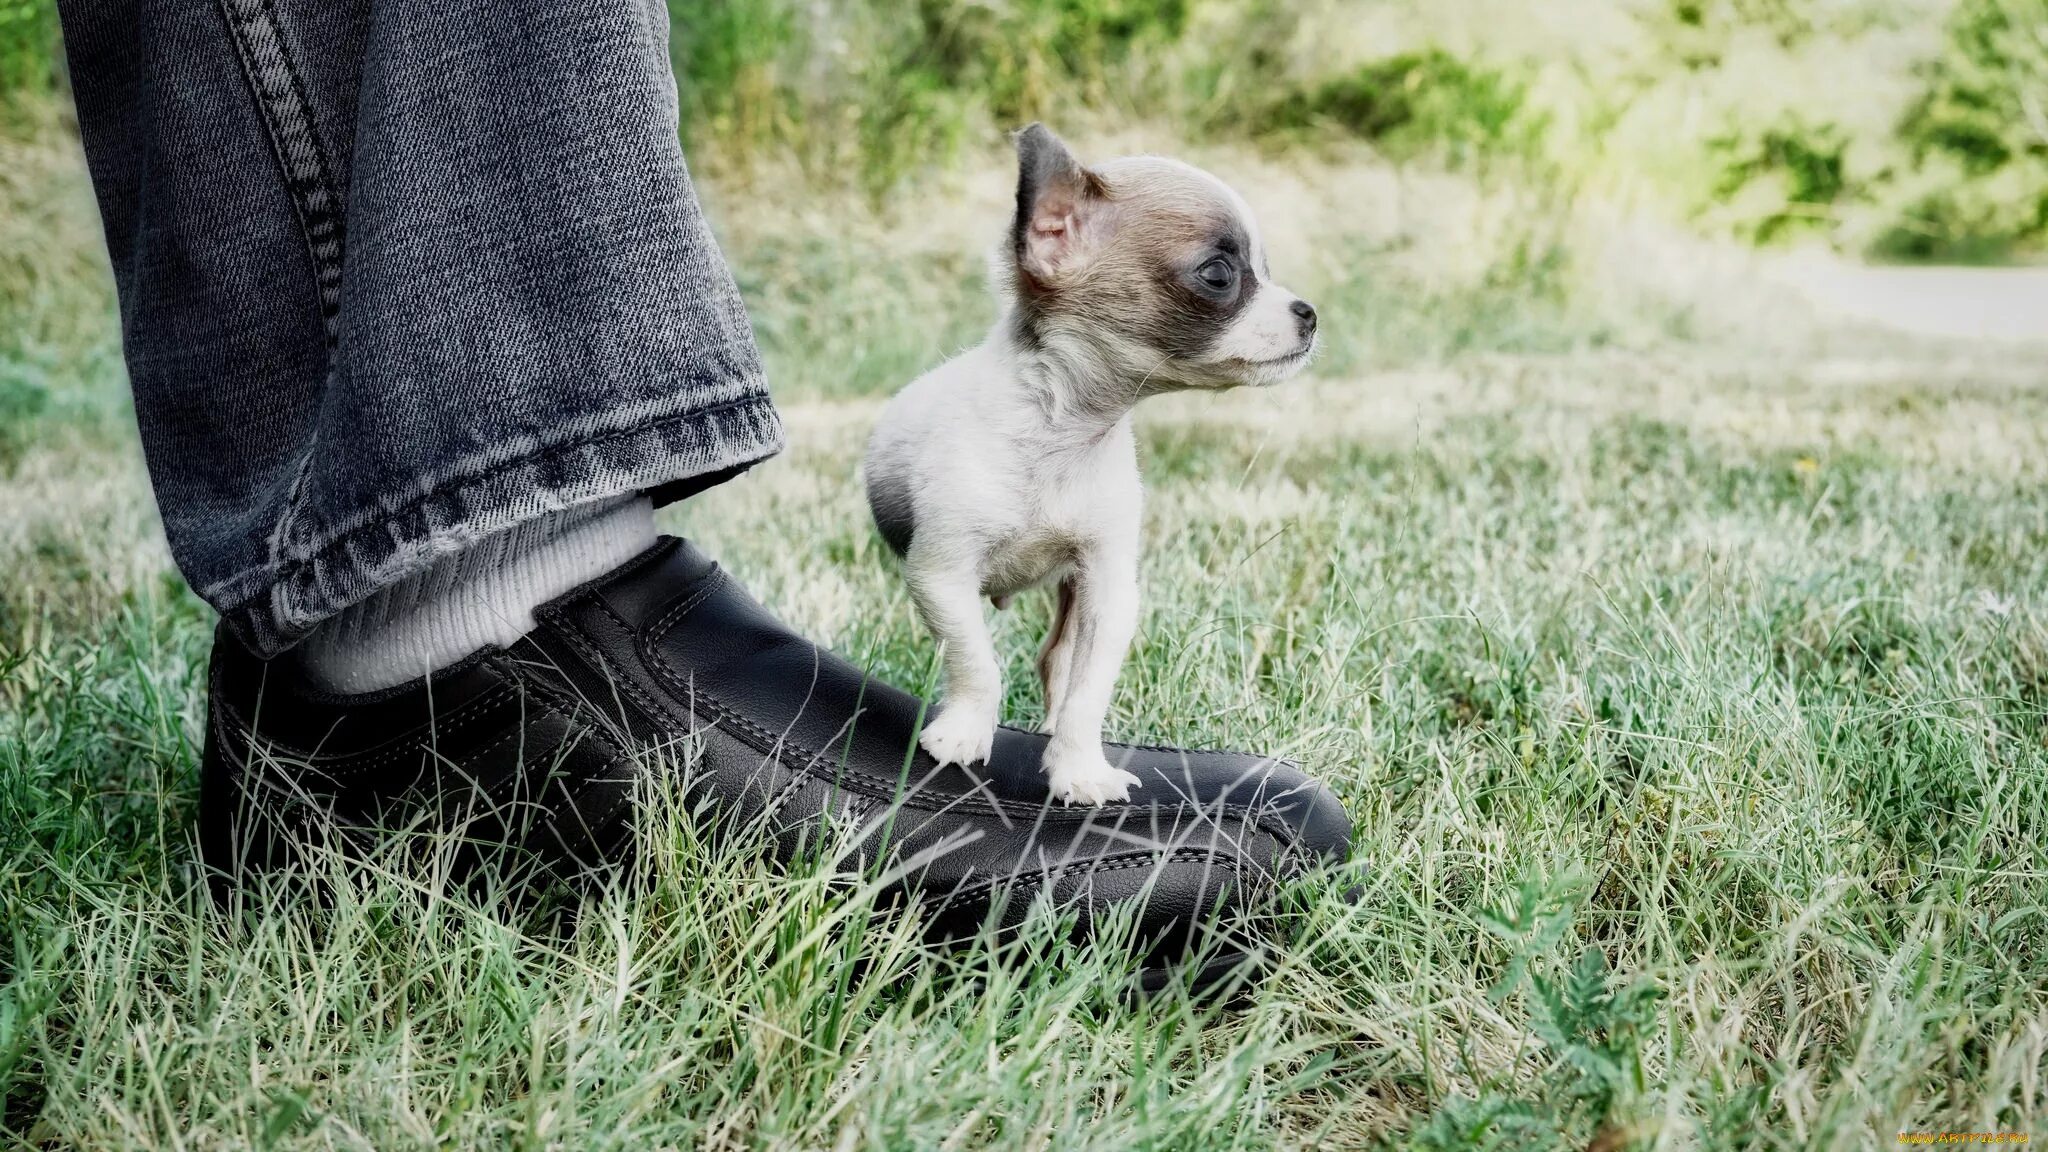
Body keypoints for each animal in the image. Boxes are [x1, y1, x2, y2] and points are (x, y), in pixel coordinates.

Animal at [860, 125, 1310, 803]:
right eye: (1219, 274)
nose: (1308, 313)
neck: (1064, 433)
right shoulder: (941, 575)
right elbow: (977, 660)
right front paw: (964, 733)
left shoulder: (1107, 589)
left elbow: (1086, 693)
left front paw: (1079, 770)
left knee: (1055, 663)